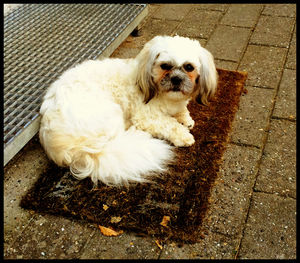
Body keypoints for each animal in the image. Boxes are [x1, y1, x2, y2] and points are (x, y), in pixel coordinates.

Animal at [39, 35, 218, 188]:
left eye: (189, 67)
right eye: (165, 66)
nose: (176, 79)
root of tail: (76, 151)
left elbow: (181, 111)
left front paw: (185, 118)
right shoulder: (146, 117)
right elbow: (170, 124)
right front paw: (183, 135)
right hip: (111, 113)